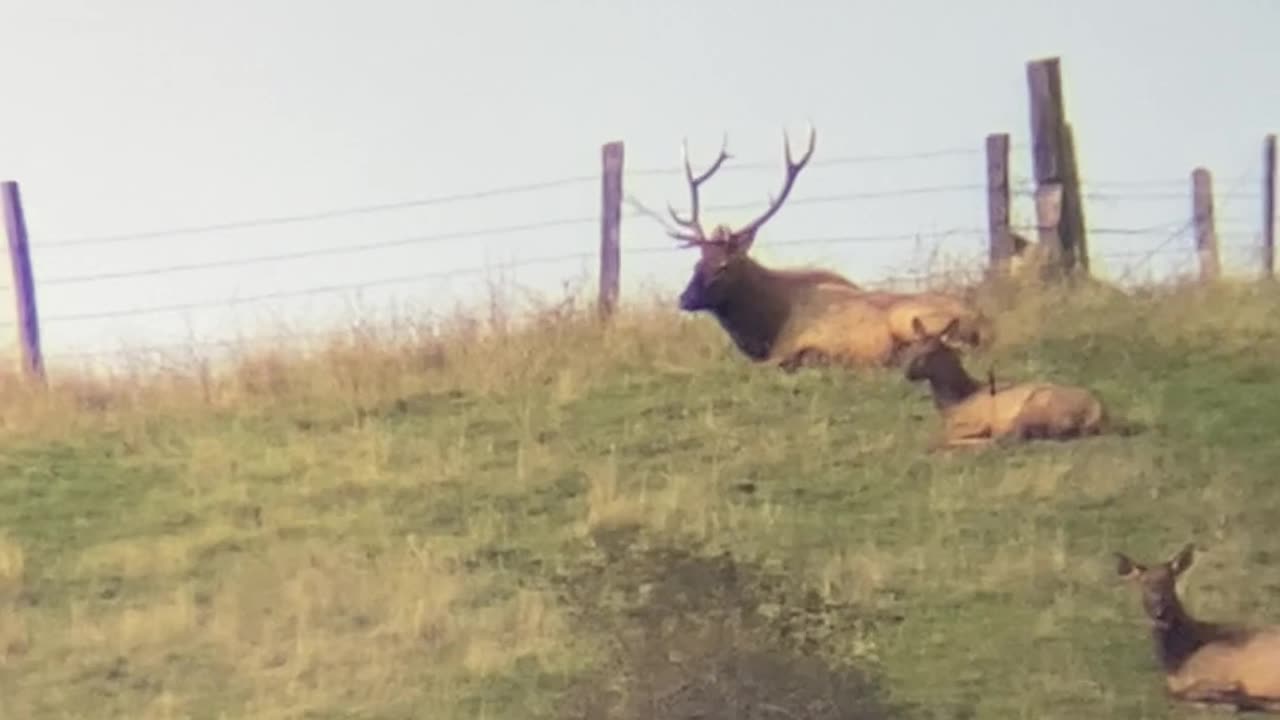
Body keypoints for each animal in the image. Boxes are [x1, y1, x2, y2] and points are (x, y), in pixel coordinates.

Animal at [665, 124, 993, 368]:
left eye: (723, 266)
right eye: (697, 263)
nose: (684, 298)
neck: (765, 327)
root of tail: (977, 319)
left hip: (909, 317)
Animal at [901, 315, 1100, 445]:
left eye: (933, 351)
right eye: (912, 346)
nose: (908, 372)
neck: (952, 405)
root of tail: (1098, 413)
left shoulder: (978, 422)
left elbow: (939, 438)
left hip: (1034, 405)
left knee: (1011, 437)